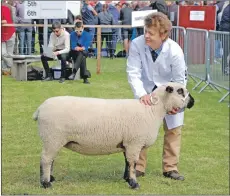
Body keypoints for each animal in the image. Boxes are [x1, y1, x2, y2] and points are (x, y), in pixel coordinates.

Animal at [32, 82, 194, 189]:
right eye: (181, 91)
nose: (193, 101)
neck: (152, 110)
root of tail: (40, 109)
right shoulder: (134, 142)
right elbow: (133, 163)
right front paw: (134, 183)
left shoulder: (127, 143)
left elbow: (128, 163)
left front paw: (127, 179)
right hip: (52, 137)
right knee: (46, 159)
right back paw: (46, 183)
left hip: (52, 139)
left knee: (49, 159)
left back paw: (50, 178)